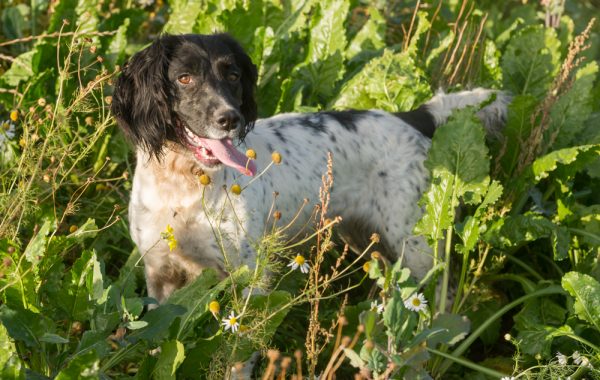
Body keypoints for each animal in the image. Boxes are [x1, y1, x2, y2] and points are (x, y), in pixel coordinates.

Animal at [110, 34, 508, 304]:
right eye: (184, 78)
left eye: (233, 75)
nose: (230, 119)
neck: (186, 185)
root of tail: (412, 117)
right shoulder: (160, 276)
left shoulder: (251, 276)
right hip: (368, 239)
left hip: (417, 246)